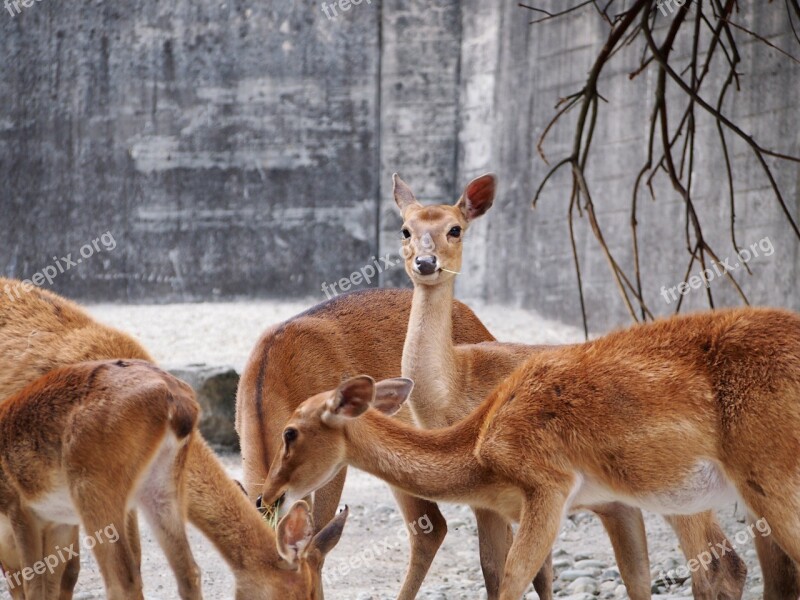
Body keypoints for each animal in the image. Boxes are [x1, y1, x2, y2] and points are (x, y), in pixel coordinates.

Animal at [260, 308, 800, 600]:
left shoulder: (548, 487)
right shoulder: (613, 505)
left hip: (760, 481)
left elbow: (512, 580)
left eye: (290, 431)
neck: (480, 443)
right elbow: (635, 580)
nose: (268, 495)